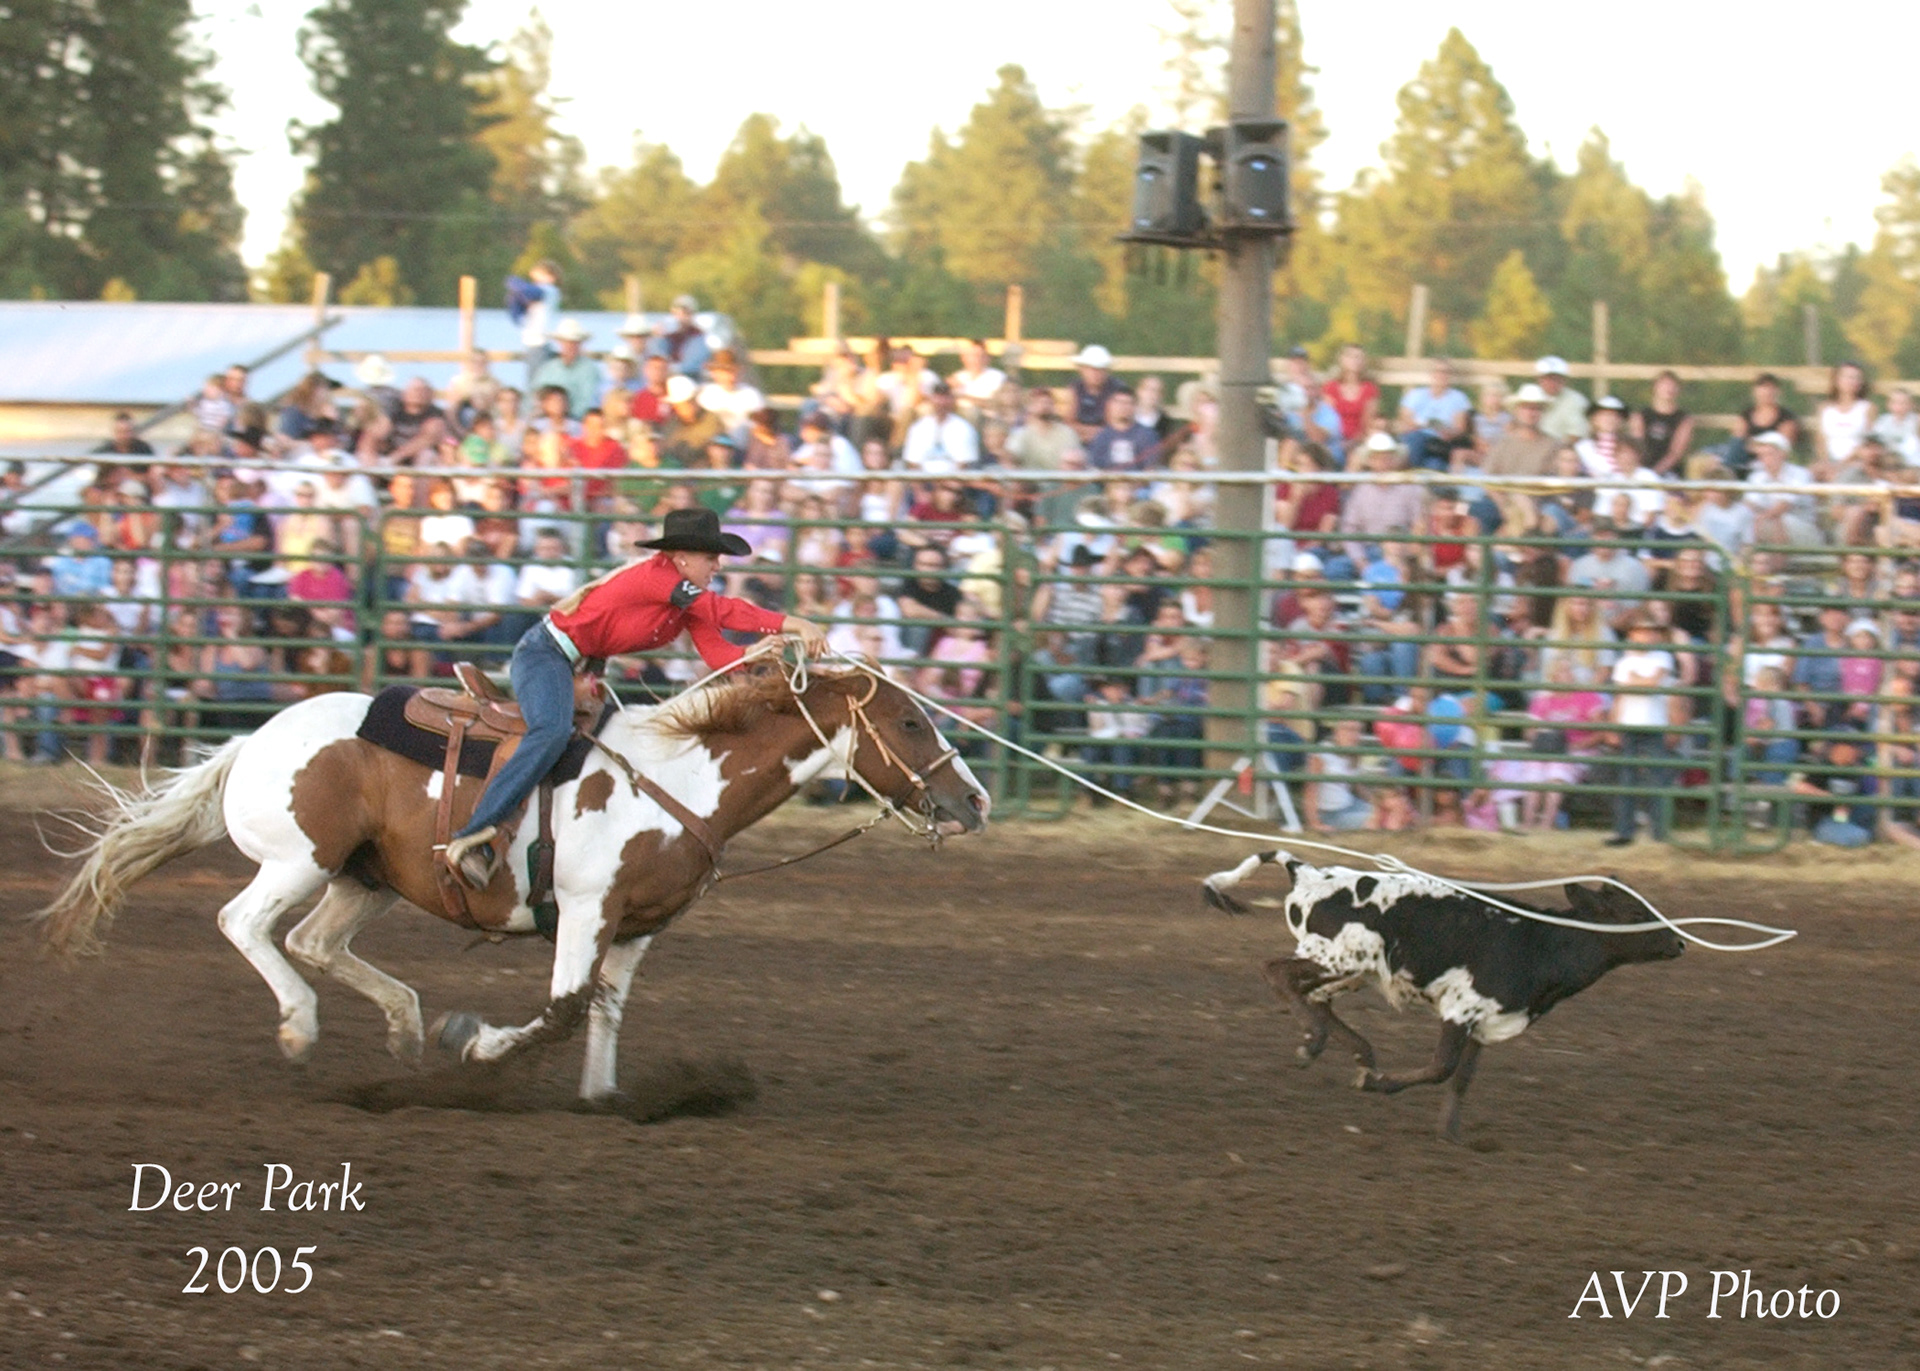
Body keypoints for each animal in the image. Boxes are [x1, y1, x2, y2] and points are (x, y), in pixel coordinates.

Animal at [37, 652, 990, 1098]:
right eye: (910, 721)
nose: (974, 799)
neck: (679, 780)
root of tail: (252, 739)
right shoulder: (585, 907)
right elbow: (561, 1008)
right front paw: (477, 1041)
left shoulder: (639, 926)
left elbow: (602, 1011)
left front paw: (602, 1098)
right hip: (296, 858)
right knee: (245, 924)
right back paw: (305, 1028)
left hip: (364, 878)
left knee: (312, 940)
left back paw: (403, 1026)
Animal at [1205, 848, 1689, 1136]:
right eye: (1634, 913)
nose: (1680, 943)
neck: (1541, 941)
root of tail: (1308, 873)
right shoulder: (1461, 1009)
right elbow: (1442, 1068)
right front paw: (1379, 1084)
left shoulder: (1485, 1021)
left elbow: (1463, 1078)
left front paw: (1450, 1132)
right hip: (1337, 958)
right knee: (1276, 973)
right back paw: (1315, 1044)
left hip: (1353, 969)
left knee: (1315, 998)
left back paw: (1357, 1052)